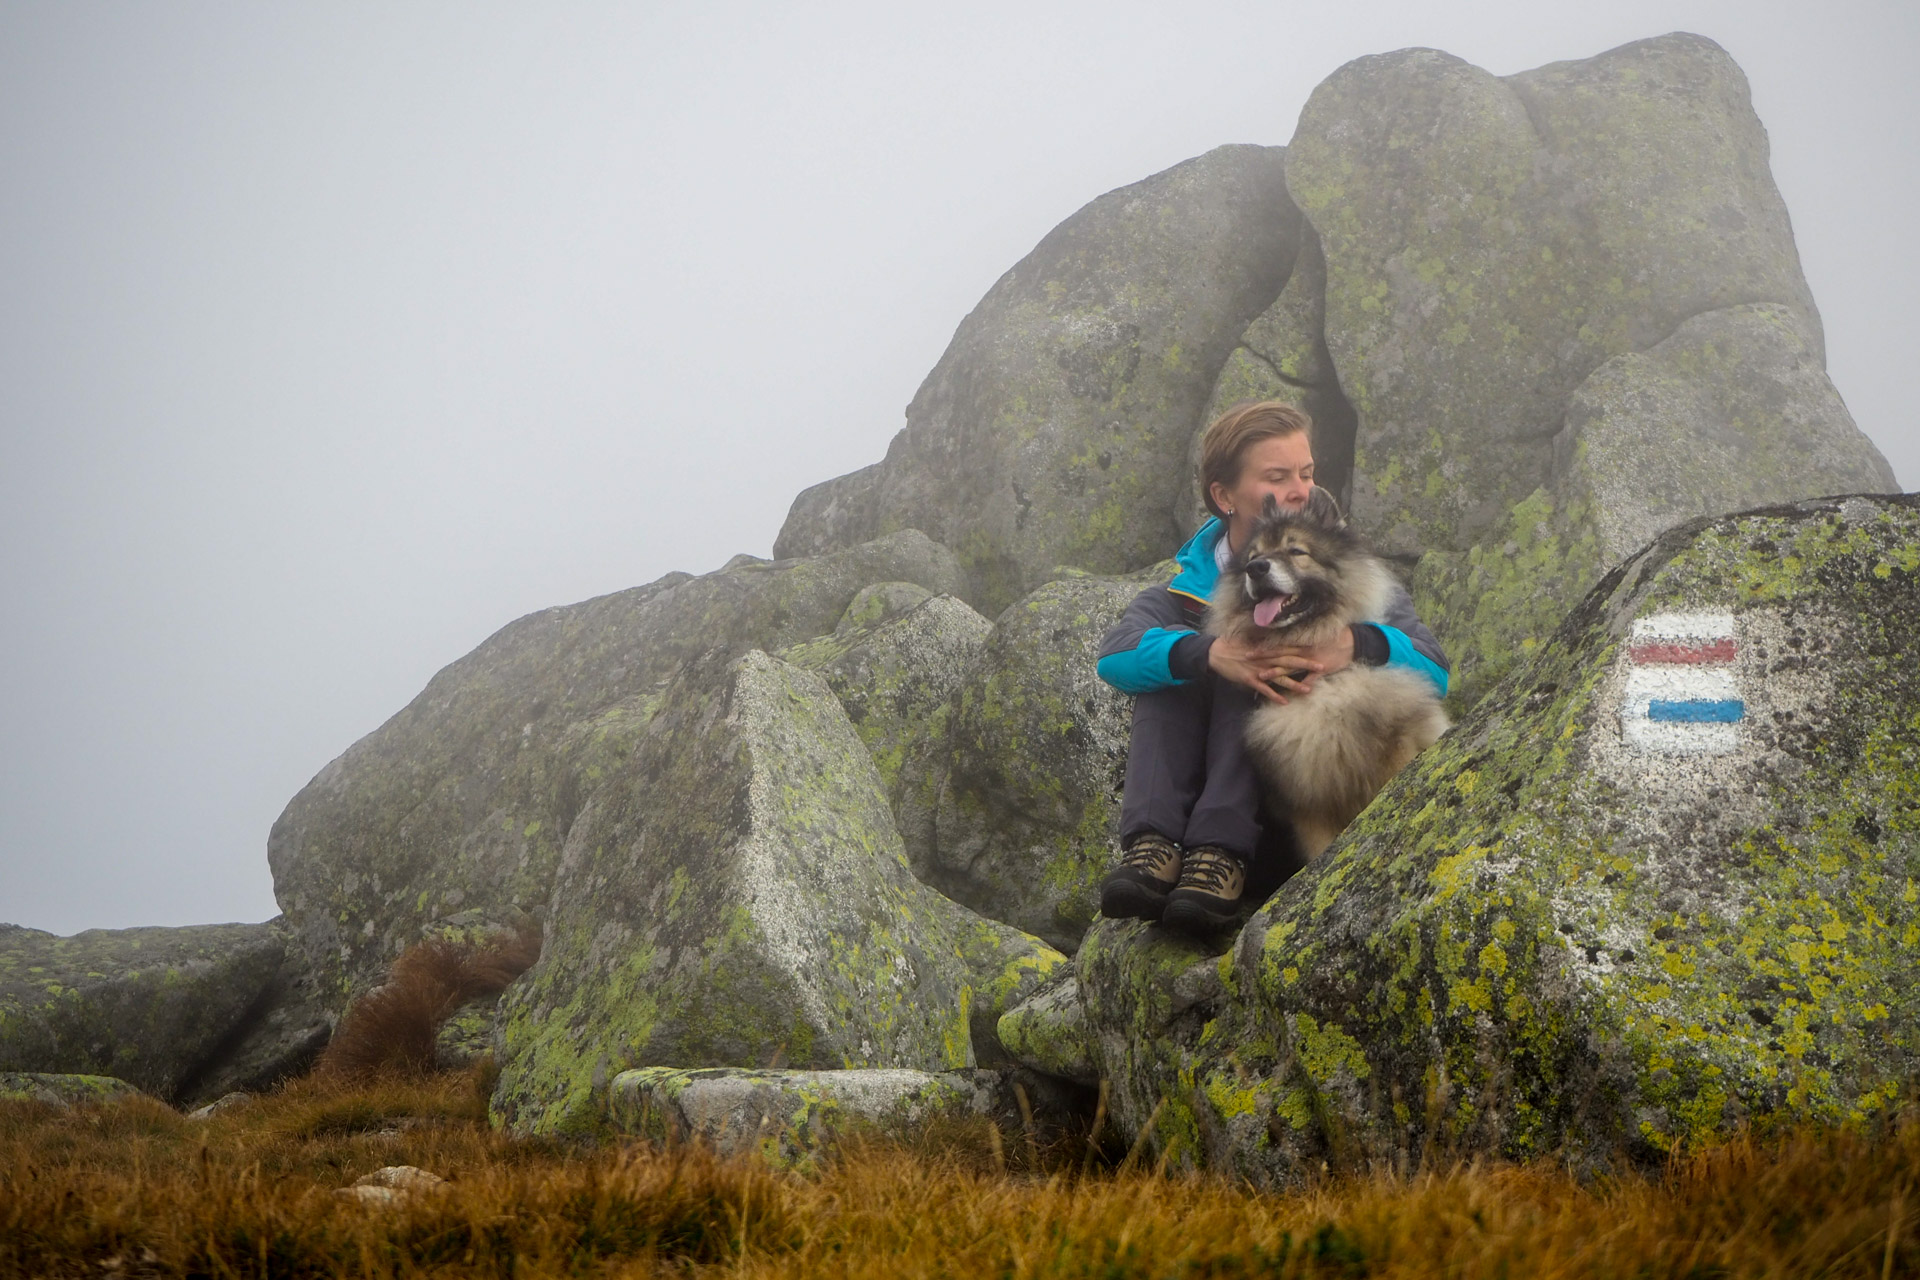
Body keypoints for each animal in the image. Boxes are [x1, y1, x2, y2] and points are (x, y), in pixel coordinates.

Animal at [1205, 491, 1443, 859]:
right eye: (1254, 556)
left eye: (1296, 551)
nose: (1255, 569)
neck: (1321, 690)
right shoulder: (1308, 807)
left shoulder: (1396, 753)